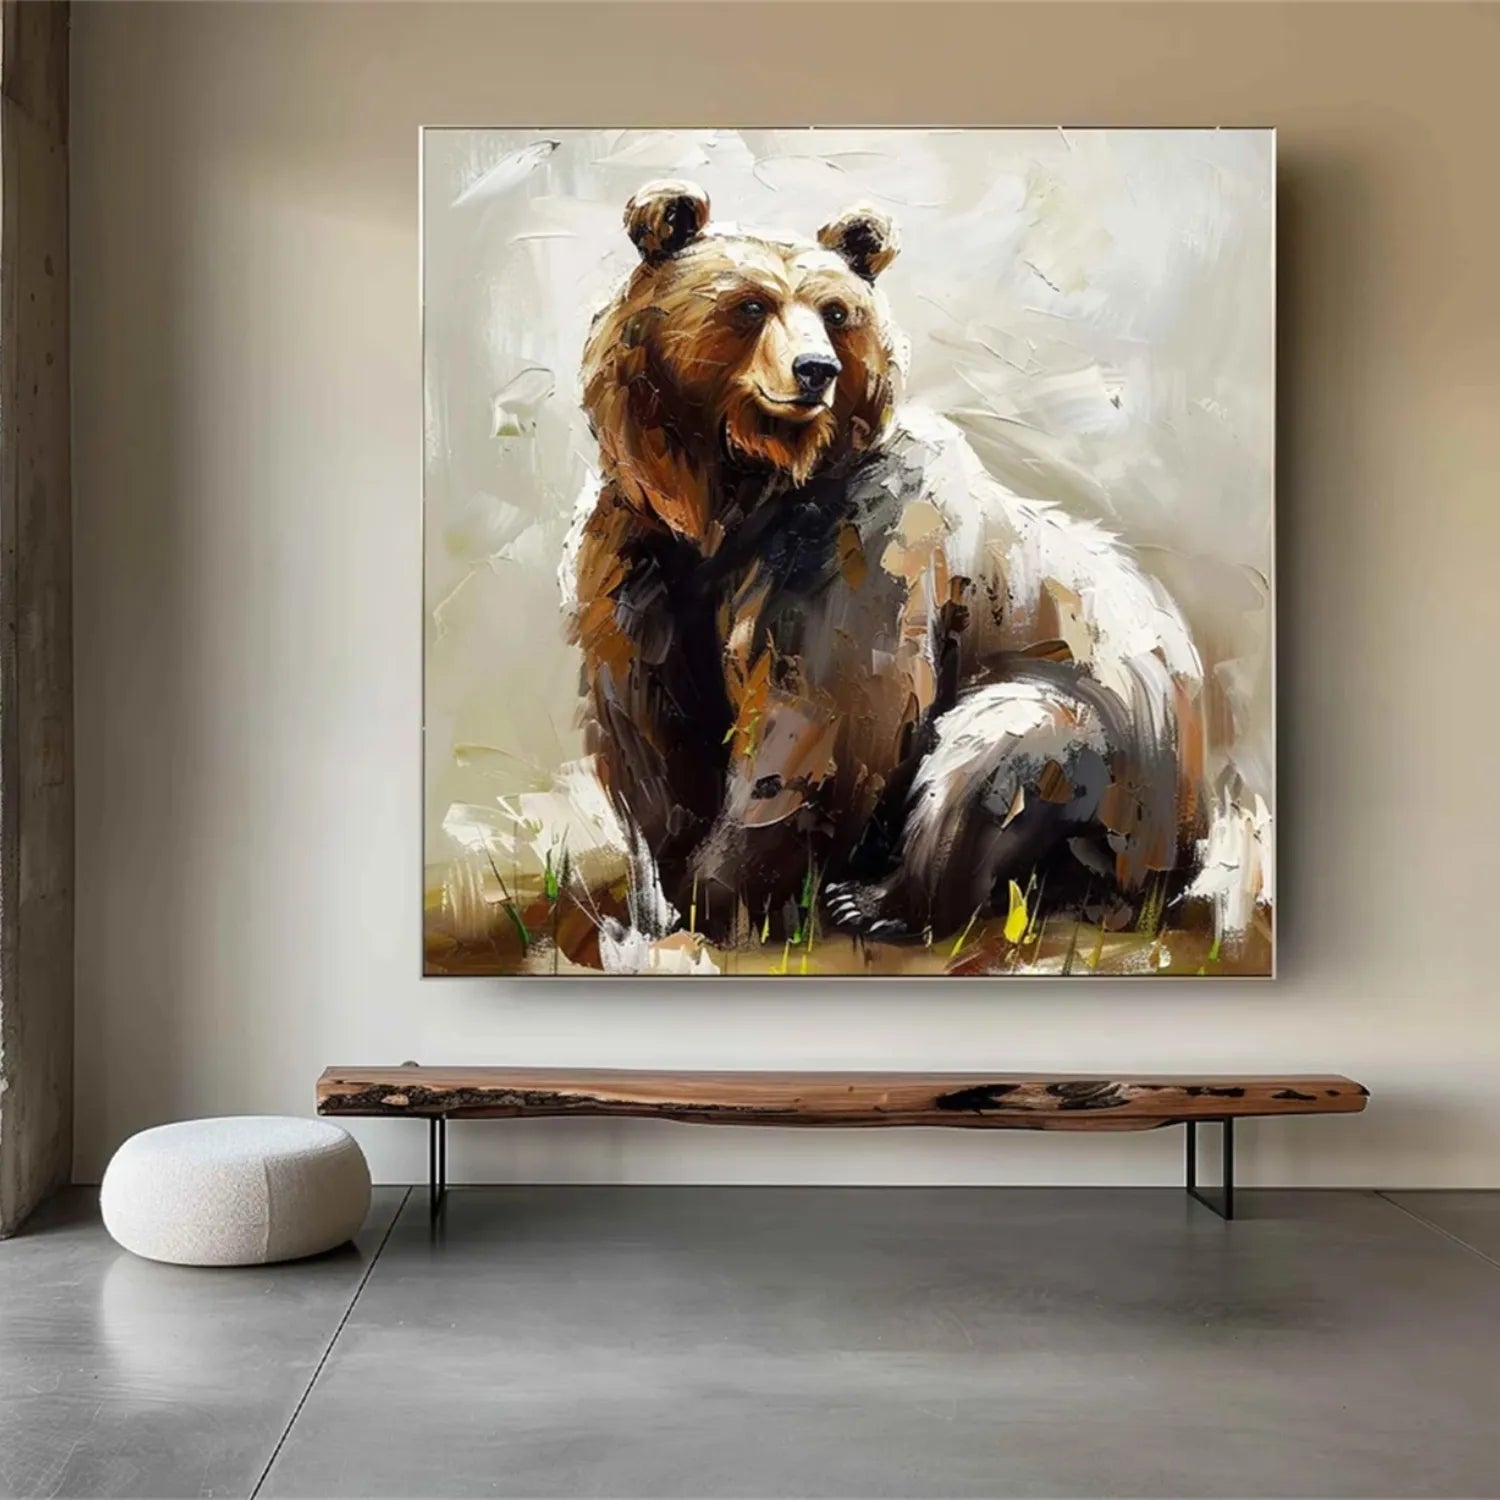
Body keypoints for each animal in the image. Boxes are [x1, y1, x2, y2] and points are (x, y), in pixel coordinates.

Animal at [565, 179, 1206, 943]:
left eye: (835, 312)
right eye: (750, 304)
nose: (816, 370)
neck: (735, 493)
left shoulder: (853, 550)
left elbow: (821, 715)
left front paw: (724, 895)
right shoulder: (642, 558)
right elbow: (650, 726)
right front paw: (659, 898)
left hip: (1104, 750)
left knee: (985, 759)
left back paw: (877, 901)